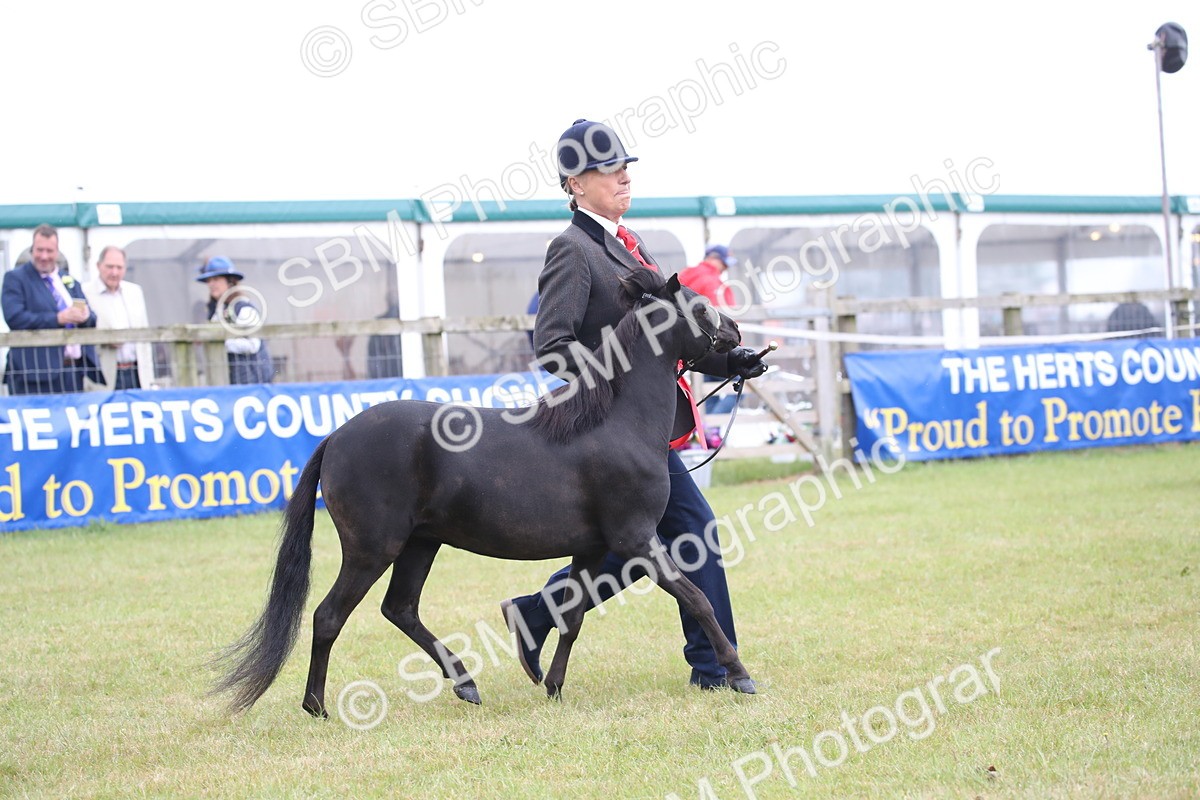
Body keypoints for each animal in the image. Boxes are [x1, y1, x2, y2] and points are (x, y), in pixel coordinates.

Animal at [212, 269, 757, 717]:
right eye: (700, 306)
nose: (738, 337)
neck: (614, 424)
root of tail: (336, 436)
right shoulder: (637, 540)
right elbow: (696, 599)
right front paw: (739, 674)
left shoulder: (592, 549)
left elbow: (571, 616)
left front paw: (552, 685)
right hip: (373, 549)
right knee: (329, 616)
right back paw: (317, 705)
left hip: (420, 543)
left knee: (400, 609)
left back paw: (465, 684)